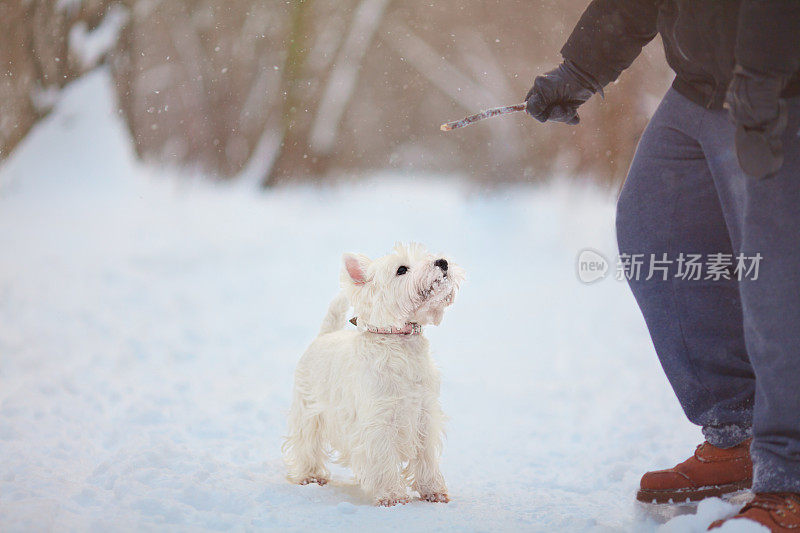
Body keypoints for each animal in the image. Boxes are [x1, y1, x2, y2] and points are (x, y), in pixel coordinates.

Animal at [286, 243, 462, 504]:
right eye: (402, 269)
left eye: (427, 256)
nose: (442, 262)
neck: (400, 341)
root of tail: (325, 335)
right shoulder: (379, 419)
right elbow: (384, 458)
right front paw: (392, 496)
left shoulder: (424, 415)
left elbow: (426, 458)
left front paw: (434, 491)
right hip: (309, 409)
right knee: (307, 445)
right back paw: (310, 476)